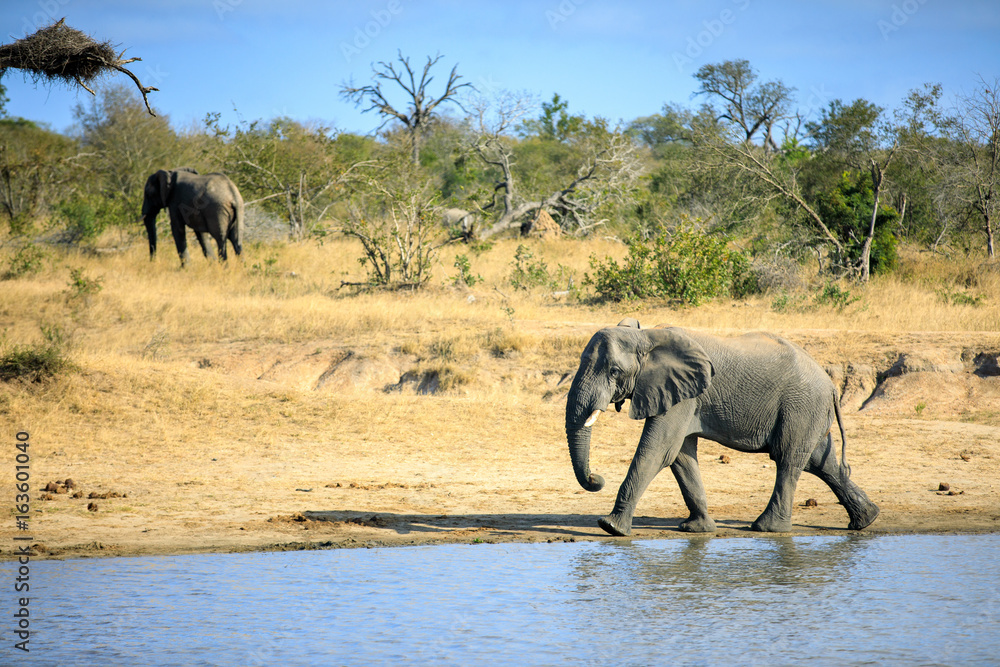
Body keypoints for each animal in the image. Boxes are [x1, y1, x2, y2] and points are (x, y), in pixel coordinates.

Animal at [565, 319, 880, 536]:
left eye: (614, 371)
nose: (596, 478)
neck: (647, 336)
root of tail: (832, 386)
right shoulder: (684, 395)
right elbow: (680, 457)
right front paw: (696, 529)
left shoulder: (683, 396)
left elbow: (658, 451)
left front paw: (611, 528)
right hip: (807, 410)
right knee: (821, 461)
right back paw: (866, 520)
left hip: (801, 405)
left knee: (788, 459)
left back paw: (766, 528)